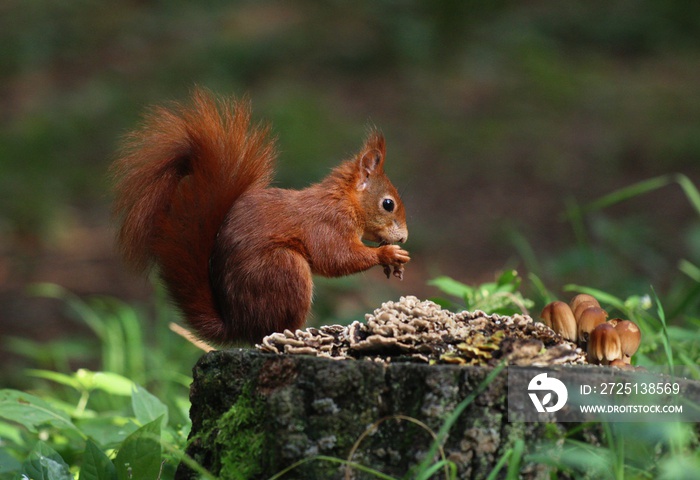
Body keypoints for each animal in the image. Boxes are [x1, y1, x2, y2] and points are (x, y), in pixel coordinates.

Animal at [113, 90, 410, 344]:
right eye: (388, 204)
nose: (405, 238)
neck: (345, 202)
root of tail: (238, 325)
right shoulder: (328, 224)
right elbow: (336, 258)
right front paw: (387, 254)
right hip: (283, 269)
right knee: (272, 329)